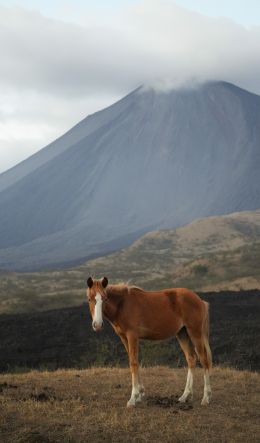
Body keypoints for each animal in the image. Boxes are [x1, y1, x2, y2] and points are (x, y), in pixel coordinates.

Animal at [86, 278, 212, 410]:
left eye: (105, 298)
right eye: (89, 299)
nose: (97, 325)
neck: (122, 304)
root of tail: (200, 301)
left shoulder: (132, 336)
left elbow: (133, 363)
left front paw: (133, 398)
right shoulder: (124, 338)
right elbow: (134, 361)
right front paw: (140, 393)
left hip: (195, 333)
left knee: (204, 360)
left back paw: (206, 398)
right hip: (182, 334)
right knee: (191, 358)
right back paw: (185, 396)